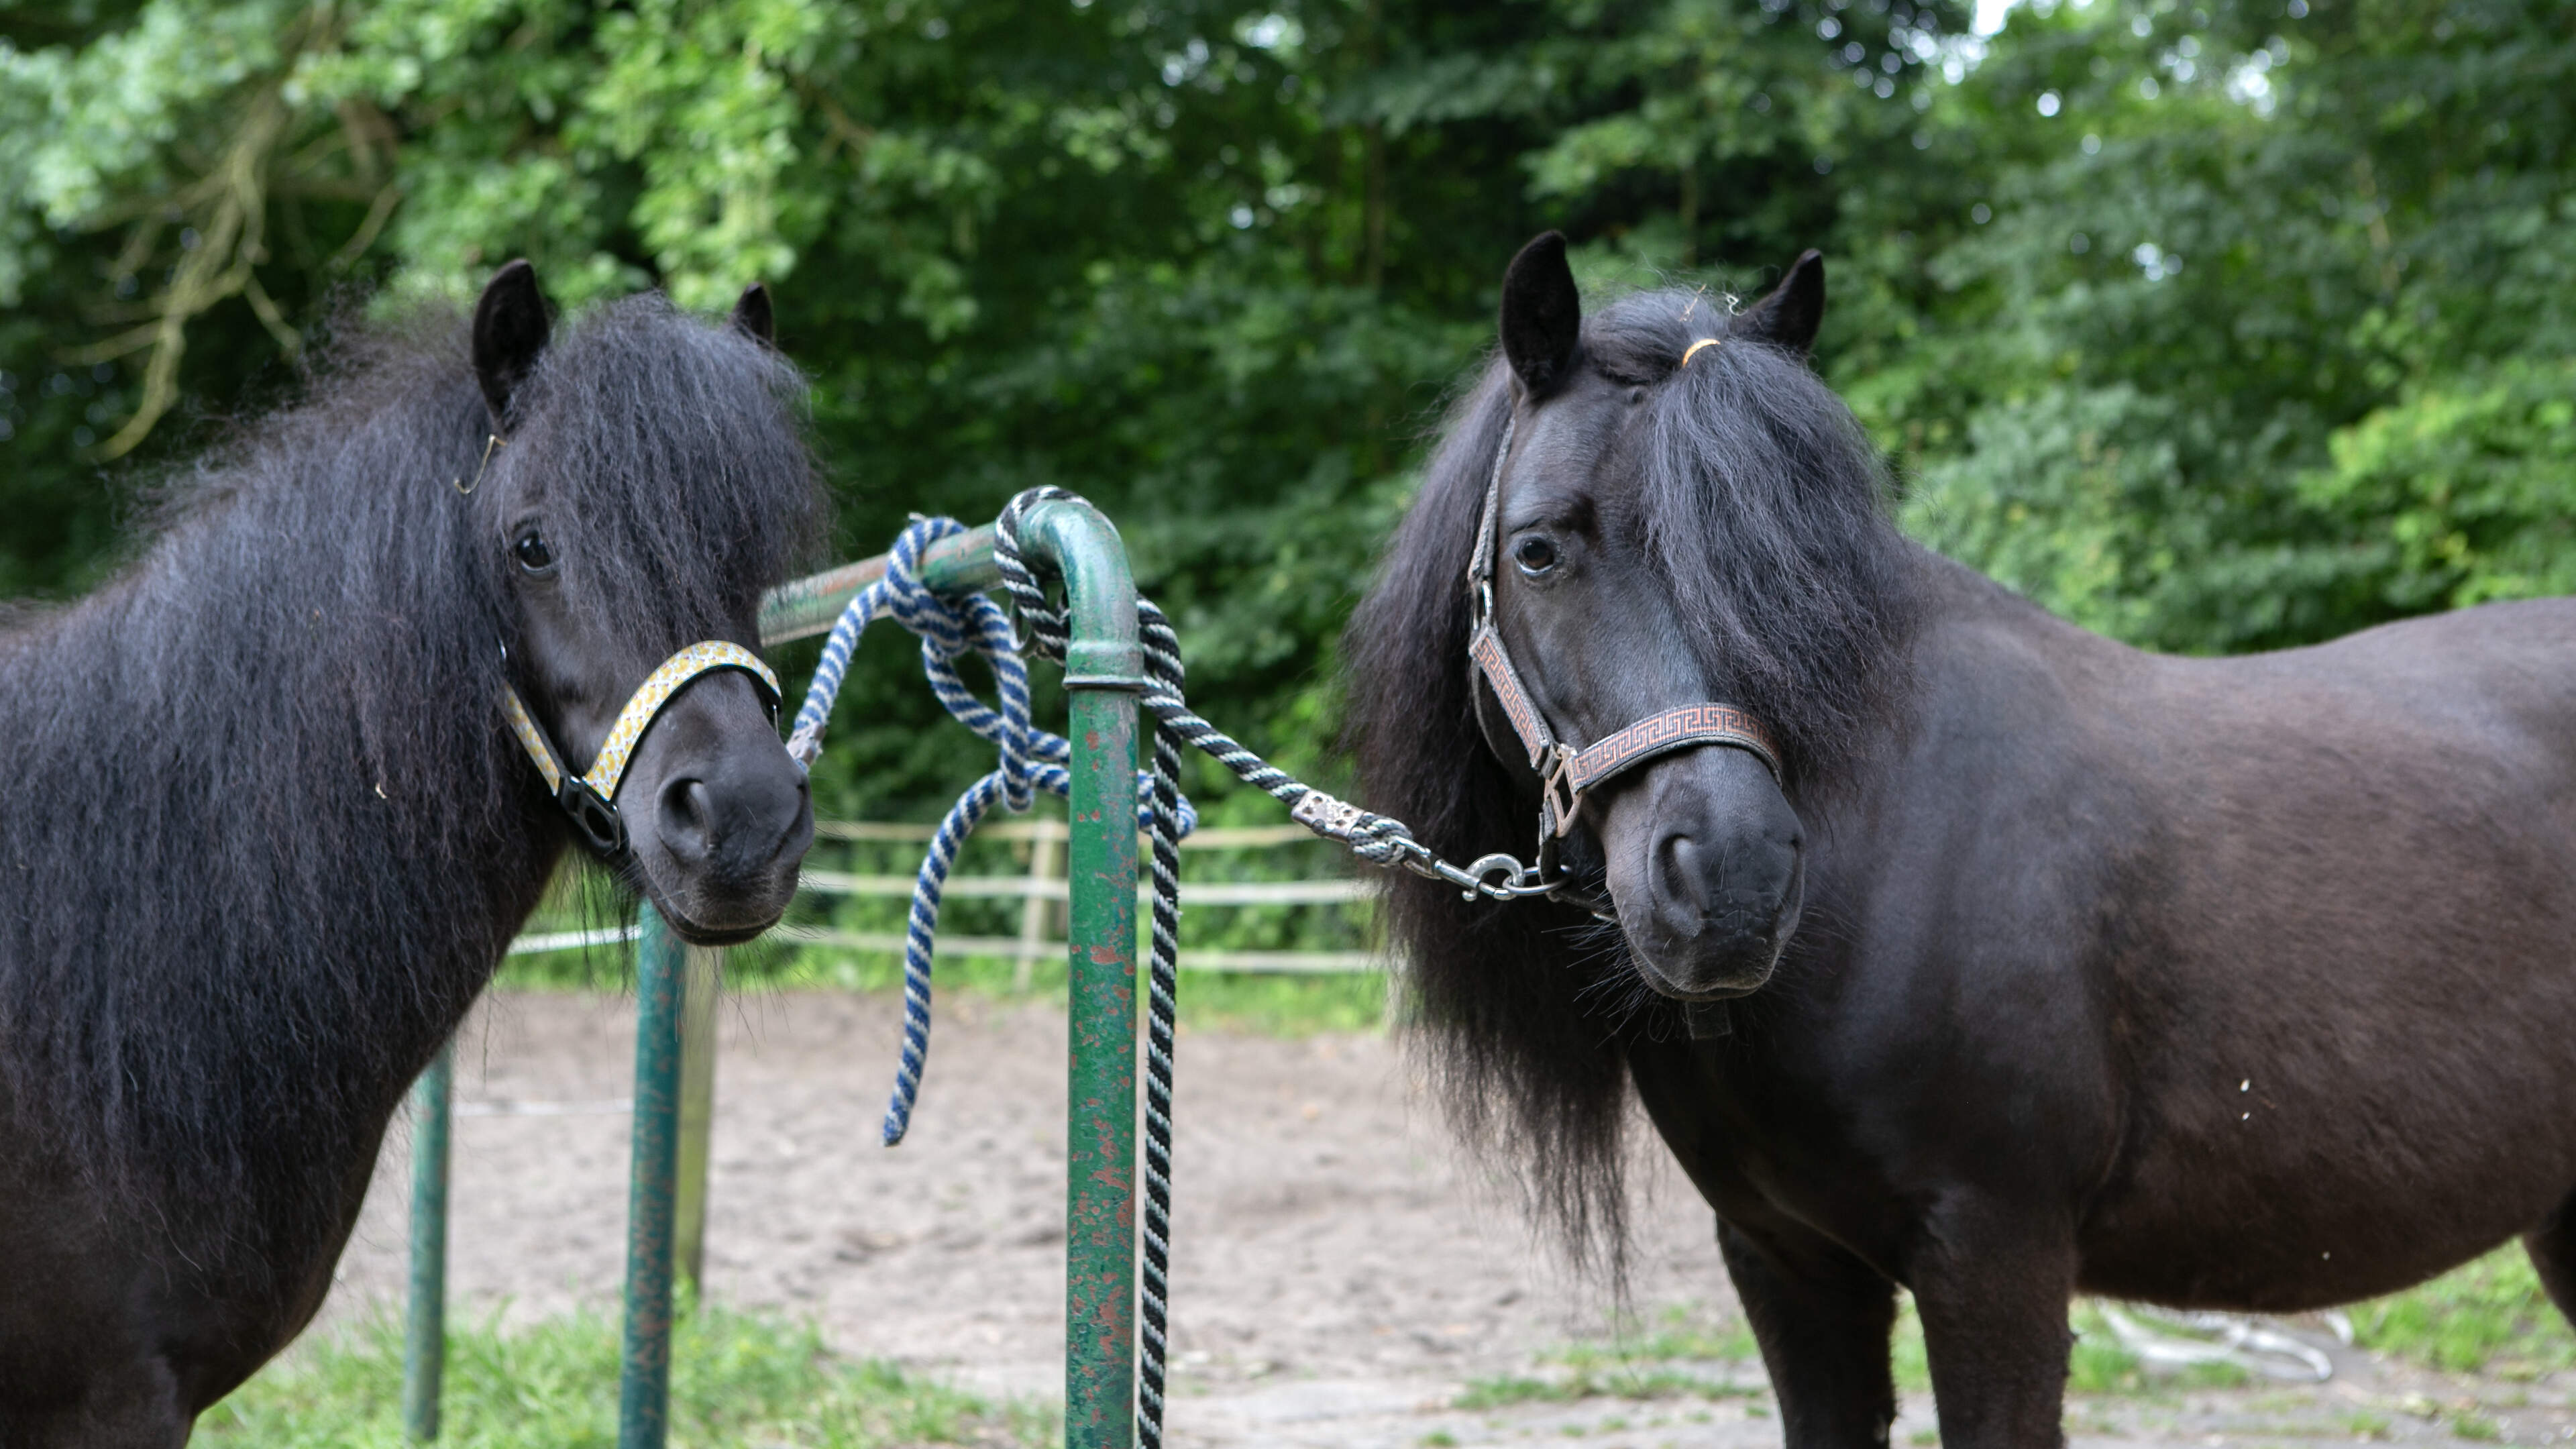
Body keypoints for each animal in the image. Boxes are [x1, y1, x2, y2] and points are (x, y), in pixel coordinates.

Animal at [1347, 230, 2576, 1448]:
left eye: (1784, 563)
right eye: (1539, 550)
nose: (1733, 879)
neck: (1888, 854)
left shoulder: (1996, 1258)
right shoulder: (1787, 1263)